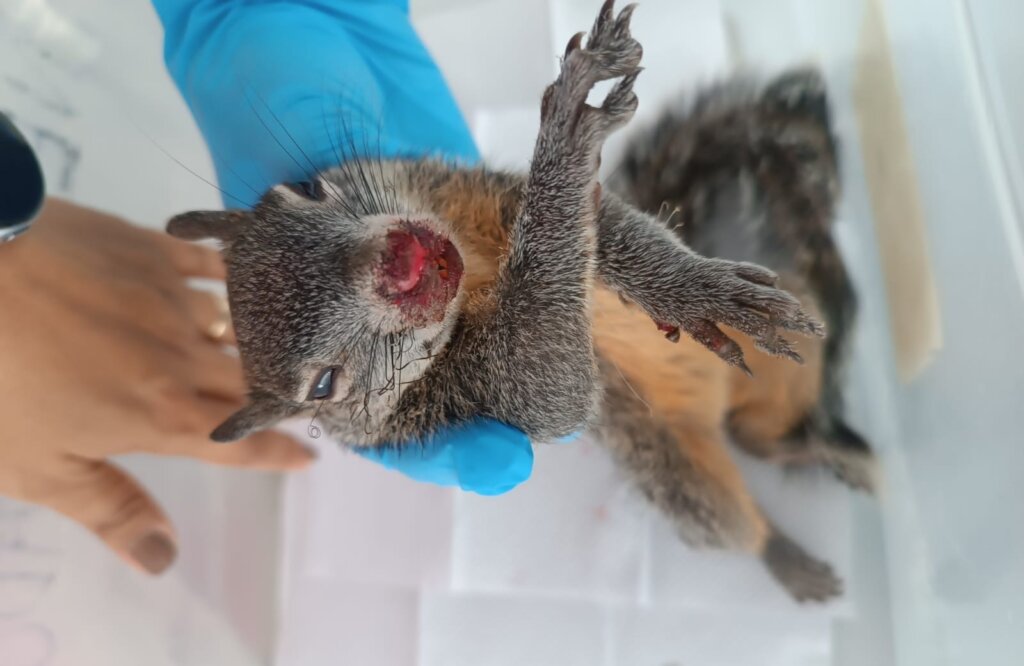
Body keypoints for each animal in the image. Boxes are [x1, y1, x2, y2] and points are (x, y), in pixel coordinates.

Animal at [167, 0, 873, 603]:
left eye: (308, 189)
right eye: (322, 387)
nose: (402, 264)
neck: (477, 274)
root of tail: (719, 405)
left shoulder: (478, 194)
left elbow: (611, 230)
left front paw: (690, 288)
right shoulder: (473, 395)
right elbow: (551, 381)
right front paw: (568, 128)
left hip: (799, 337)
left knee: (764, 431)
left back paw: (829, 454)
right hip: (669, 468)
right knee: (735, 493)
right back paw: (792, 557)